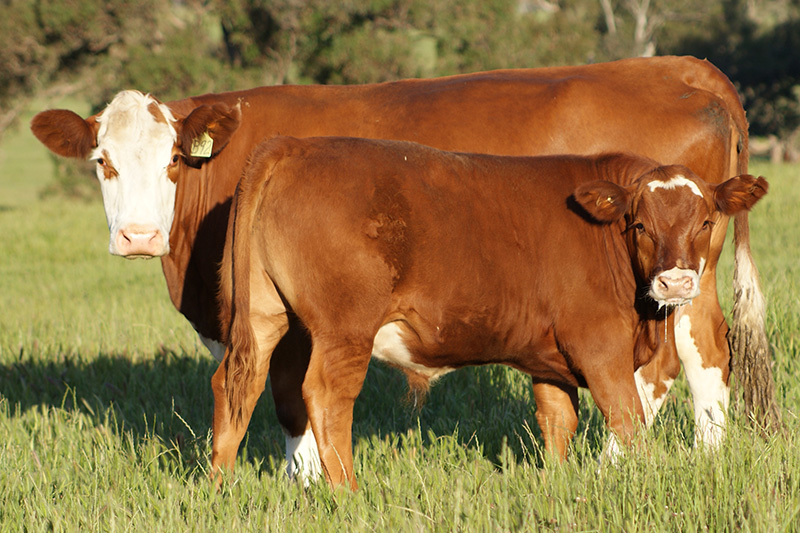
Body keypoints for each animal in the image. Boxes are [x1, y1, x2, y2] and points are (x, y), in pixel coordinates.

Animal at [212, 136, 768, 489]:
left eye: (705, 220)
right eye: (639, 225)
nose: (677, 282)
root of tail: (293, 145)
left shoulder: (550, 359)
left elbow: (557, 420)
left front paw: (557, 482)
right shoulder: (599, 345)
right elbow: (626, 418)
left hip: (266, 316)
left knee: (238, 384)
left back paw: (222, 485)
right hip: (344, 329)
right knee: (326, 398)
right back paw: (347, 491)